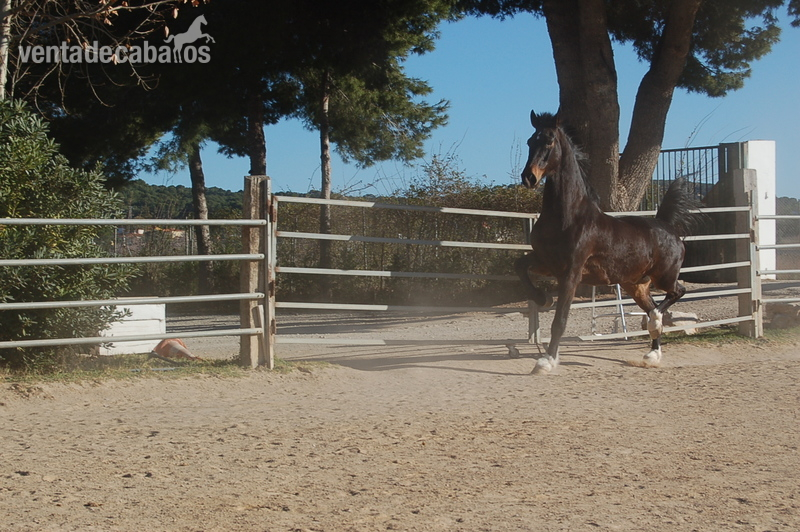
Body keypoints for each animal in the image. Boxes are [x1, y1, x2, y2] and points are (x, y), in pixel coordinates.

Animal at [516, 110, 700, 375]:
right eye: (531, 141)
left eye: (549, 141)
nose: (529, 177)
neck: (567, 216)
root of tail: (666, 224)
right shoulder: (546, 262)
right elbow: (520, 267)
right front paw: (543, 298)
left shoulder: (571, 273)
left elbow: (560, 321)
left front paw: (546, 362)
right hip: (636, 285)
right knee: (653, 305)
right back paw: (652, 354)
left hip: (663, 277)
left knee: (676, 293)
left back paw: (655, 324)